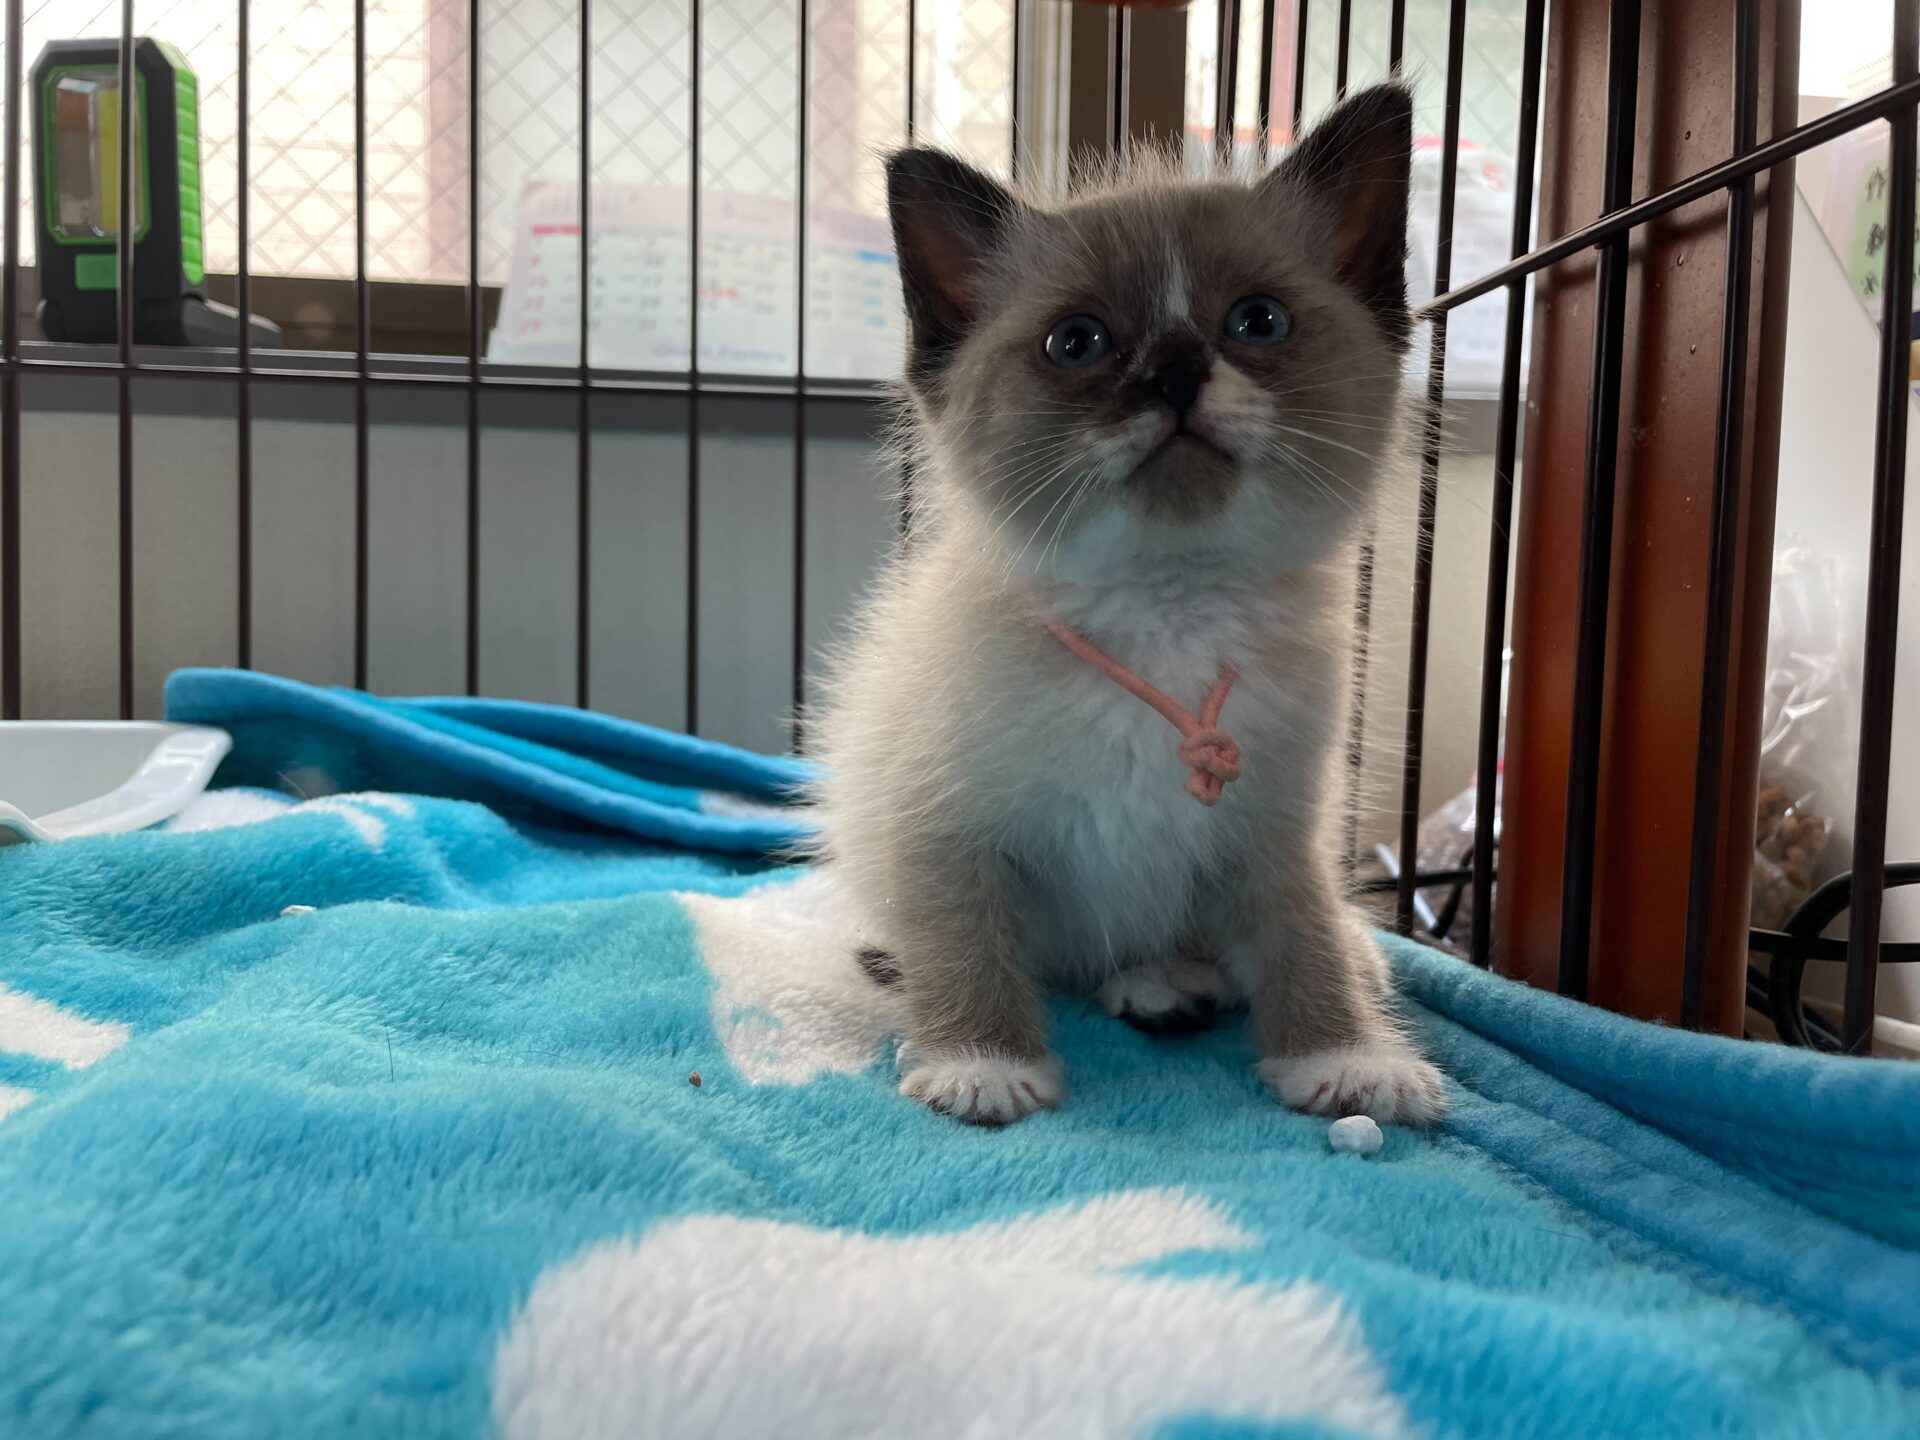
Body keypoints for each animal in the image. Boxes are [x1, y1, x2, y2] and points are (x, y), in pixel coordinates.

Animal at [806, 81, 1446, 1128]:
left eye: (1258, 322)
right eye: (1077, 343)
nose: (1176, 371)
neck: (1166, 609)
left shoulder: (1278, 826)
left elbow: (1303, 930)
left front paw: (1347, 1056)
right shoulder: (942, 821)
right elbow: (963, 939)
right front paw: (981, 1066)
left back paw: (1174, 984)